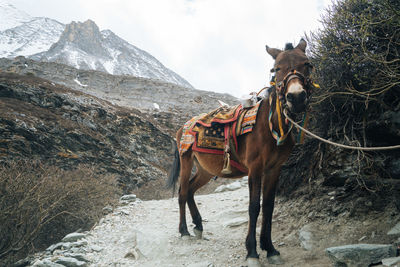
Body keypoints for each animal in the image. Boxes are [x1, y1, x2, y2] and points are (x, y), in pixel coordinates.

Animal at [166, 38, 316, 266]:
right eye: (276, 69)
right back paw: (184, 231)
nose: (296, 97)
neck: (268, 125)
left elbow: (269, 206)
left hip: (206, 170)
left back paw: (198, 226)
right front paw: (252, 252)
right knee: (183, 192)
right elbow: (254, 207)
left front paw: (270, 249)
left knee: (191, 189)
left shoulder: (274, 169)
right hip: (186, 161)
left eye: (307, 64)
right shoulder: (255, 168)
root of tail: (184, 126)